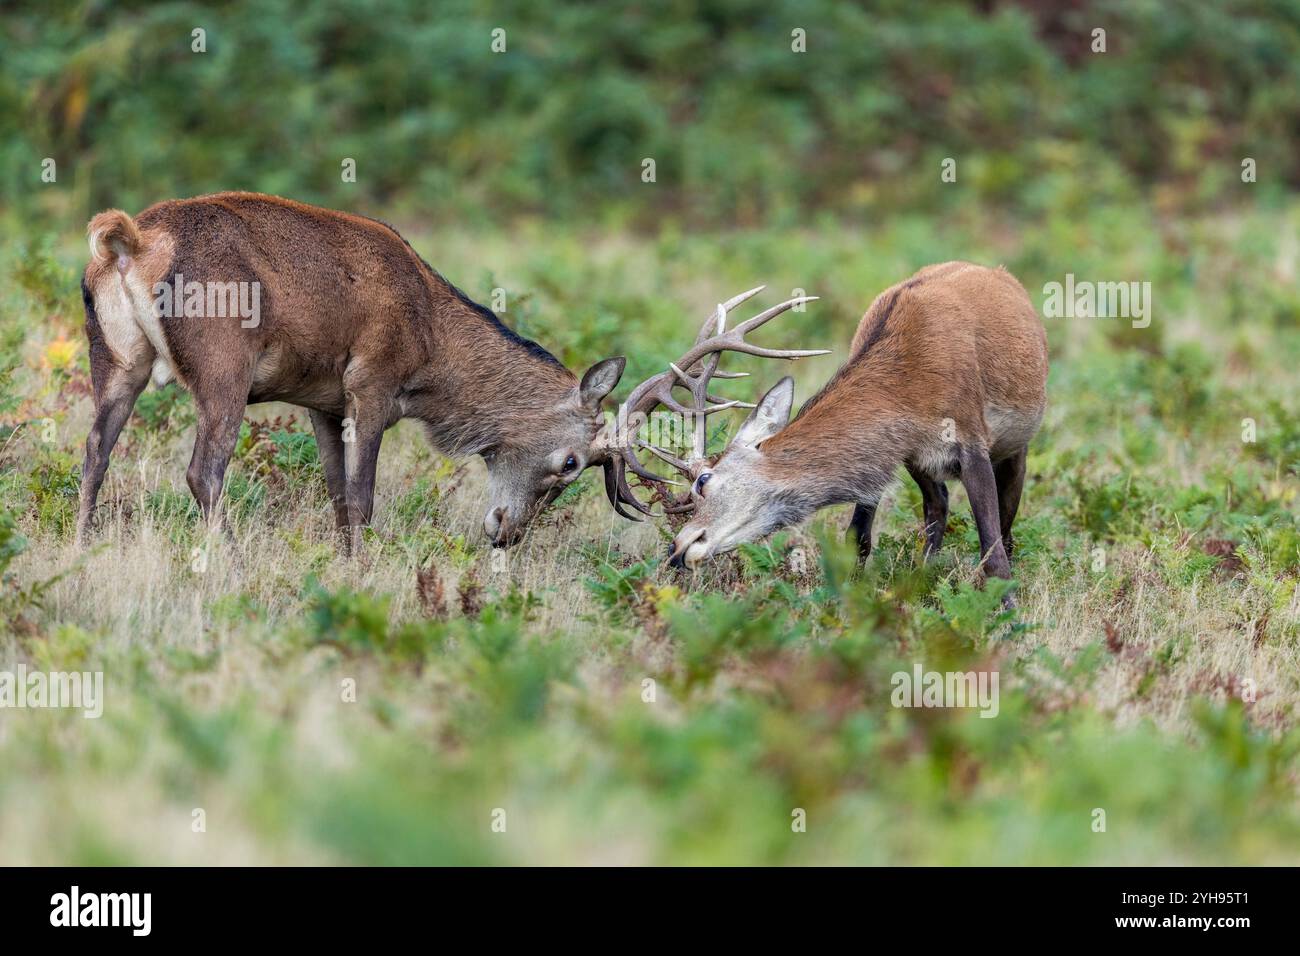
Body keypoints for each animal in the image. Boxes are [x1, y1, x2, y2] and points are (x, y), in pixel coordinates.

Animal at [77, 191, 628, 552]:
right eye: (572, 463)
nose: (507, 534)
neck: (432, 352)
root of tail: (130, 243)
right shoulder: (371, 382)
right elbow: (362, 497)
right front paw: (361, 569)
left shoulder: (323, 402)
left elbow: (337, 495)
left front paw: (342, 562)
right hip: (223, 362)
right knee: (203, 471)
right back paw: (231, 559)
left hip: (116, 358)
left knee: (95, 450)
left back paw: (82, 548)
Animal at [605, 262, 1048, 589]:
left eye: (703, 481)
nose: (677, 548)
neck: (912, 394)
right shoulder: (893, 455)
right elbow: (856, 538)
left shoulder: (971, 439)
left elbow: (993, 552)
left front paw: (1008, 620)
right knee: (936, 503)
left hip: (1018, 443)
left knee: (1007, 525)